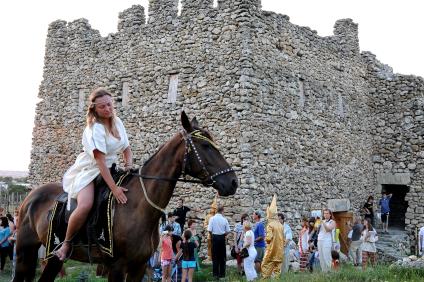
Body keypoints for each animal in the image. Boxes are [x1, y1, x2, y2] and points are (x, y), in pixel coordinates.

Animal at [14, 111, 238, 280]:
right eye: (205, 146)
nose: (233, 182)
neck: (138, 206)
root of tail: (28, 199)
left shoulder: (139, 267)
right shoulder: (116, 267)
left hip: (52, 258)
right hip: (25, 252)